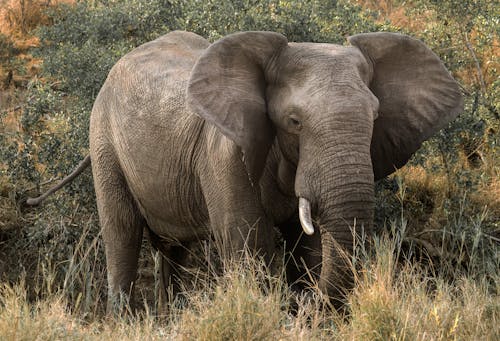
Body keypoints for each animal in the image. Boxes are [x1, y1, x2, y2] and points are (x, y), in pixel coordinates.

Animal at [27, 29, 462, 310]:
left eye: (374, 118)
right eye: (293, 122)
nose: (315, 308)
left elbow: (309, 249)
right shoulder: (225, 155)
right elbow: (248, 243)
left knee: (173, 249)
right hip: (103, 138)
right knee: (121, 233)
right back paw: (125, 319)